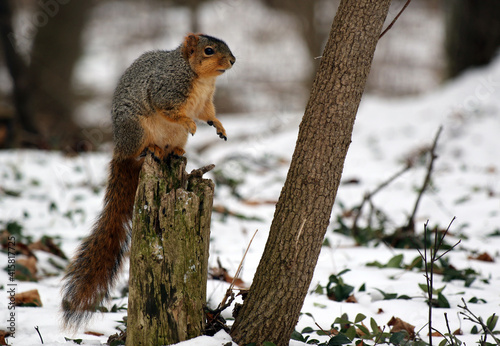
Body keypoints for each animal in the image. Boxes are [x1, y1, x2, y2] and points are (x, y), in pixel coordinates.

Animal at [61, 33, 236, 328]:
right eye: (209, 50)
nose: (233, 61)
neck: (200, 79)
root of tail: (120, 148)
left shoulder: (204, 102)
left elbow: (208, 113)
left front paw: (219, 126)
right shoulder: (165, 89)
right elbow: (169, 109)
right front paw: (189, 121)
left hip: (173, 138)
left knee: (171, 148)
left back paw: (174, 151)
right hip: (138, 129)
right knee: (140, 150)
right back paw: (152, 149)